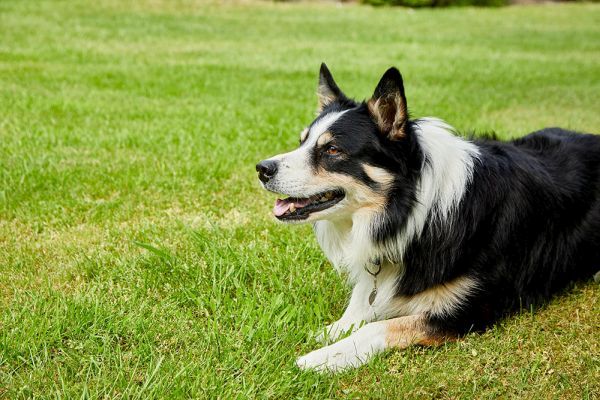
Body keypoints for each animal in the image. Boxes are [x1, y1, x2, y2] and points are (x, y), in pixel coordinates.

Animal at [254, 63, 600, 372]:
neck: (413, 212)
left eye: (333, 150)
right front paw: (325, 334)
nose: (261, 168)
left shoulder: (469, 309)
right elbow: (358, 309)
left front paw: (322, 358)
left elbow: (378, 327)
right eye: (302, 142)